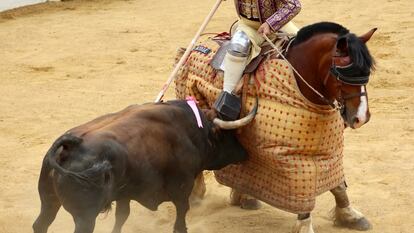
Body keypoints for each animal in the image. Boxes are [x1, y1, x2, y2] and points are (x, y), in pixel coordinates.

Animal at [32, 101, 249, 233]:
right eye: (228, 134)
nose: (245, 153)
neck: (192, 131)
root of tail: (70, 146)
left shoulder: (124, 194)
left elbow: (122, 217)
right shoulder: (182, 187)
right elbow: (181, 216)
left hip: (48, 201)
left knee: (40, 224)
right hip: (85, 216)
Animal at [176, 20, 376, 232]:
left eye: (367, 72)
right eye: (340, 74)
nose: (361, 117)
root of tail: (196, 46)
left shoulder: (329, 151)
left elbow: (338, 185)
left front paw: (350, 216)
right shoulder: (290, 157)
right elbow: (301, 190)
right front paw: (305, 224)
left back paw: (245, 198)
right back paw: (196, 196)